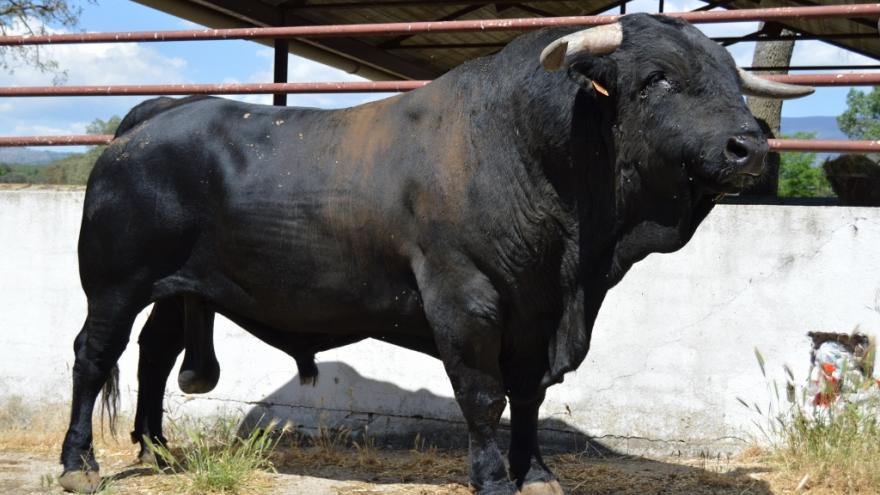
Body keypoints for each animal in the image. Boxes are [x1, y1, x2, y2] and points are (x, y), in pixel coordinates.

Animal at [58, 14, 808, 495]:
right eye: (657, 78)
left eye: (731, 79)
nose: (750, 146)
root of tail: (154, 114)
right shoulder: (464, 295)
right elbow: (482, 394)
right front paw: (493, 479)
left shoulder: (534, 309)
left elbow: (527, 395)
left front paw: (537, 473)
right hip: (114, 281)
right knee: (94, 354)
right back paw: (78, 463)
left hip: (178, 285)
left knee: (154, 354)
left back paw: (159, 453)